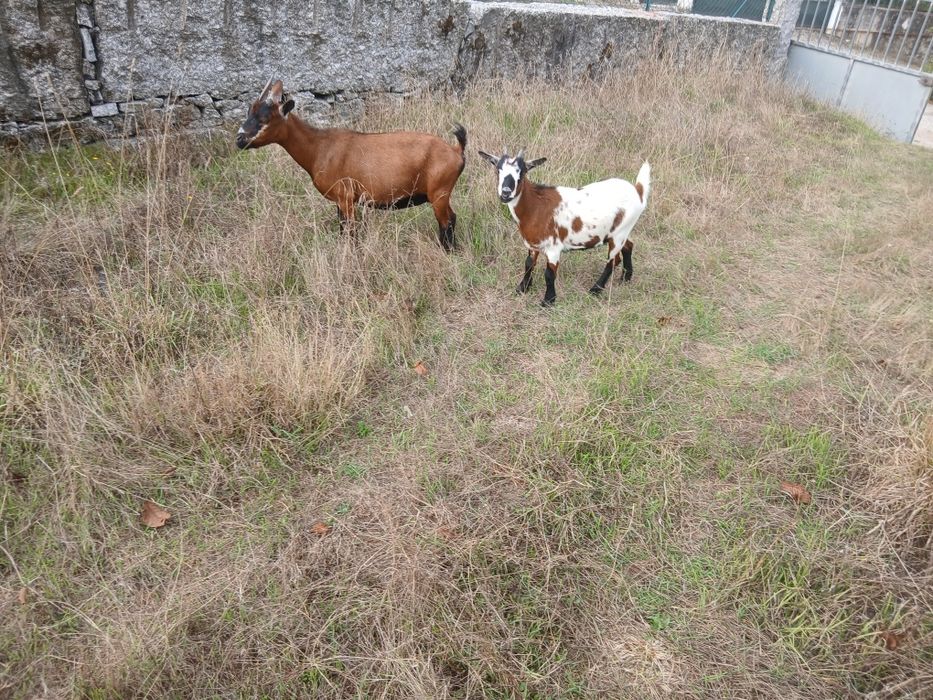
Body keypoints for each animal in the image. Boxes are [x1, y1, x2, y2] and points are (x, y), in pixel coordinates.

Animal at [236, 79, 466, 251]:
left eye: (265, 117)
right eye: (249, 111)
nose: (239, 139)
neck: (319, 146)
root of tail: (457, 150)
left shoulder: (345, 197)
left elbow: (350, 232)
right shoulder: (341, 202)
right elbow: (343, 230)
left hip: (439, 193)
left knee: (447, 221)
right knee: (452, 218)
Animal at [478, 149, 650, 306]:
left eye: (522, 172)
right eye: (498, 170)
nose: (506, 193)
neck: (535, 205)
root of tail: (638, 191)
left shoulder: (553, 247)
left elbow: (549, 274)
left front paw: (548, 300)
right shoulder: (533, 244)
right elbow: (528, 264)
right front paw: (522, 288)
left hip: (619, 234)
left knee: (613, 260)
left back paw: (596, 289)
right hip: (620, 231)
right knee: (629, 246)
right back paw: (626, 278)